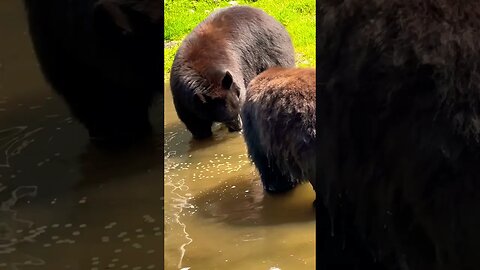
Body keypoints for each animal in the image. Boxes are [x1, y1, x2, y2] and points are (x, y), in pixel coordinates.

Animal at [169, 5, 296, 139]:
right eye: (226, 118)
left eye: (238, 108)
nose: (239, 127)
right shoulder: (184, 99)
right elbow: (194, 122)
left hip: (270, 51)